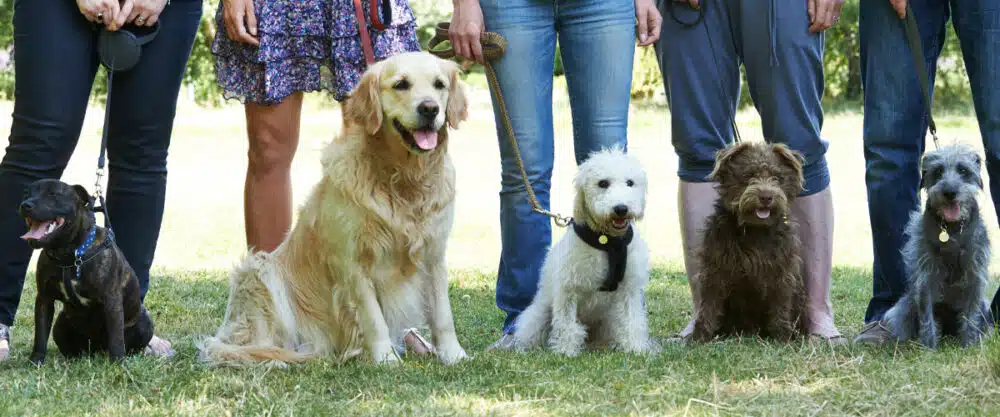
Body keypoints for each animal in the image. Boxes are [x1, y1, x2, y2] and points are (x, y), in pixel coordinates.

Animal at [19, 179, 153, 364]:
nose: (26, 204)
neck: (70, 254)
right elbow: (40, 334)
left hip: (144, 321)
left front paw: (118, 363)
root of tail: (96, 350)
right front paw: (36, 361)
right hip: (60, 324)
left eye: (53, 194)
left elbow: (116, 338)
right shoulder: (44, 299)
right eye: (27, 193)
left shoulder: (111, 301)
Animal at [512, 145, 660, 354]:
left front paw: (635, 348)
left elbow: (632, 320)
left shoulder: (629, 289)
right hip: (538, 314)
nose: (621, 208)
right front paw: (566, 350)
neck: (607, 242)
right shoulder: (568, 289)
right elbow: (567, 324)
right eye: (602, 183)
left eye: (630, 182)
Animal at [884, 144, 992, 348]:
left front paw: (968, 345)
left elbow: (971, 315)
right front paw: (928, 347)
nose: (949, 192)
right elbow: (927, 315)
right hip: (904, 307)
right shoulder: (926, 276)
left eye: (963, 170)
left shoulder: (975, 275)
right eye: (938, 171)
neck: (952, 230)